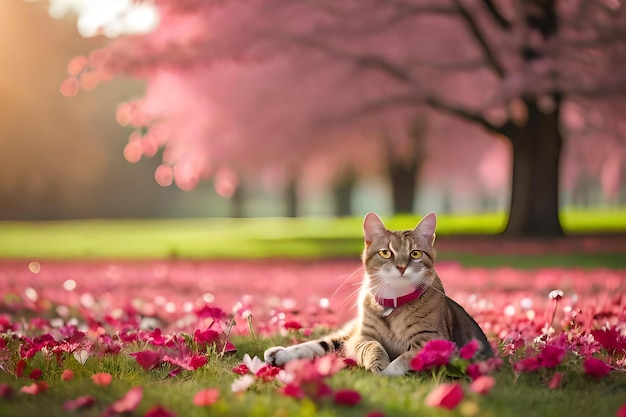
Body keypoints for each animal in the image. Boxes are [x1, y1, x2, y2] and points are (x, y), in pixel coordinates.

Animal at [260, 211, 490, 374]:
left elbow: (406, 358)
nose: (401, 267)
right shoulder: (363, 336)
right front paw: (378, 363)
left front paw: (388, 372)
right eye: (386, 253)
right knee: (324, 343)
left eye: (415, 253)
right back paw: (280, 353)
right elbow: (373, 347)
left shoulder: (433, 340)